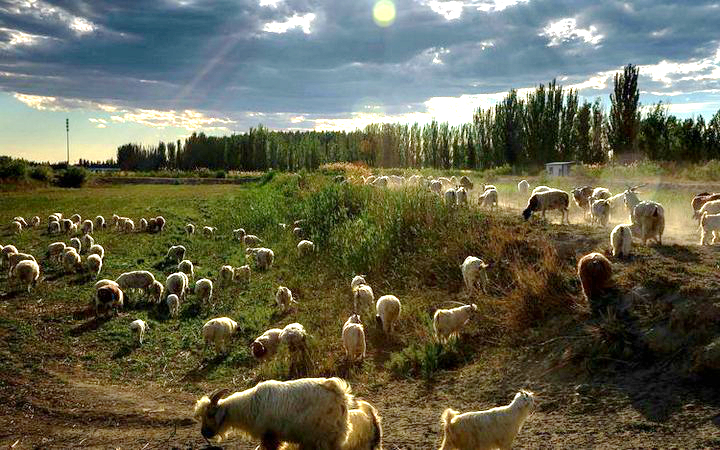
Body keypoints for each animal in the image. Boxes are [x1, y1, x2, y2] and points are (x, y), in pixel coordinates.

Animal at [193, 376, 352, 446]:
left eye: (210, 414)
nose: (204, 433)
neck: (250, 405)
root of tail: (340, 393)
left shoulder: (269, 436)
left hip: (321, 436)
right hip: (334, 437)